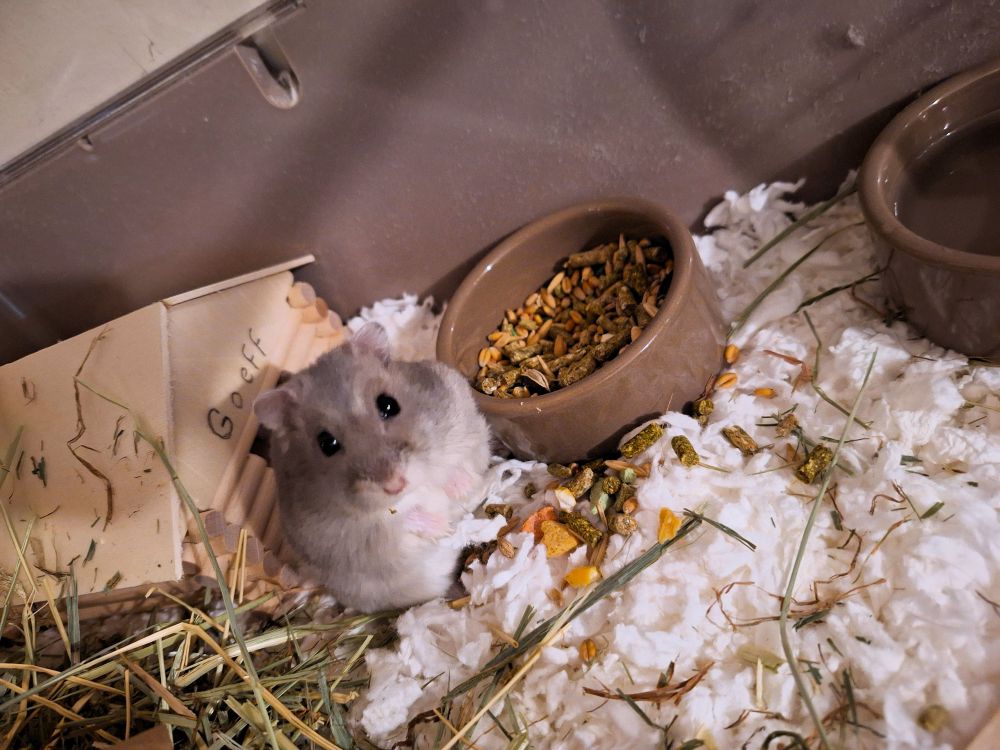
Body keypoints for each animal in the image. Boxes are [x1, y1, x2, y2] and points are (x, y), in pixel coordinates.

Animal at [253, 322, 491, 612]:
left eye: (388, 404)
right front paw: (443, 526)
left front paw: (460, 488)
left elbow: (460, 465)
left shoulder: (464, 424)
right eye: (326, 443)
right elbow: (399, 528)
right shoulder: (355, 543)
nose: (395, 484)